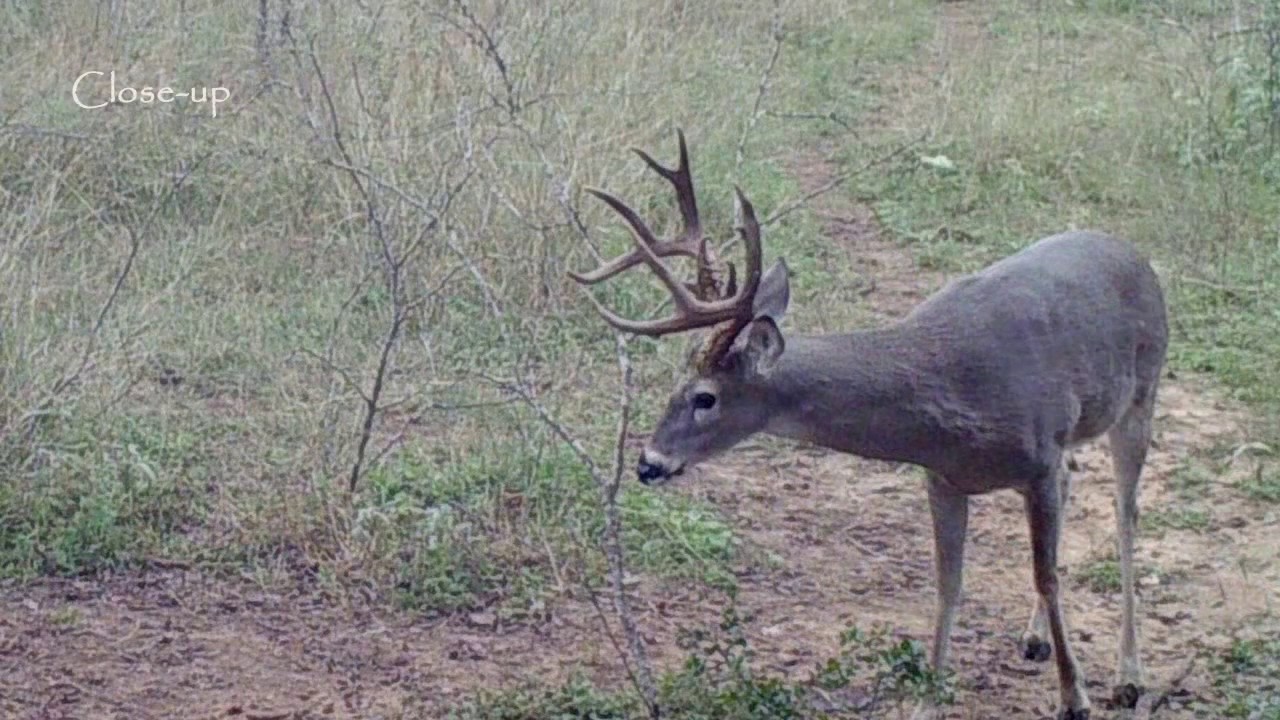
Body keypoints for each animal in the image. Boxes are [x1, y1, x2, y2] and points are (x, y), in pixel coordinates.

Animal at [568, 131, 1168, 720]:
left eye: (705, 397)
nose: (647, 462)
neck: (948, 393)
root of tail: (1133, 252)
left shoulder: (1038, 457)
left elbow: (1047, 573)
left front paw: (1075, 697)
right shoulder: (943, 477)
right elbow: (949, 583)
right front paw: (928, 700)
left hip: (1142, 393)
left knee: (1125, 515)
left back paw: (1128, 676)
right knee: (1075, 483)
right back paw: (1036, 639)